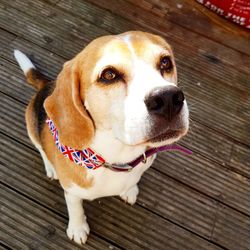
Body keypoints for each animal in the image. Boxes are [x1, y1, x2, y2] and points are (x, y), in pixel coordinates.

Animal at [13, 30, 189, 244]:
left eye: (165, 62)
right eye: (109, 75)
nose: (168, 99)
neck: (117, 158)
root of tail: (47, 85)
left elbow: (132, 181)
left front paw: (129, 190)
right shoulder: (71, 191)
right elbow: (75, 209)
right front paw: (78, 228)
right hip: (31, 125)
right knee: (41, 148)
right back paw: (50, 167)